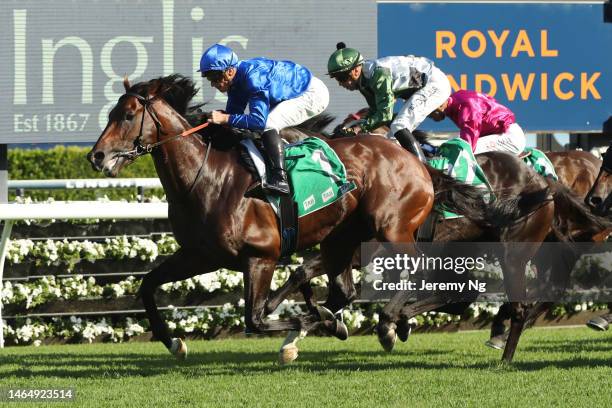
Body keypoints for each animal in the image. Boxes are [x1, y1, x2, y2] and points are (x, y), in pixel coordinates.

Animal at [86, 74, 510, 360]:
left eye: (127, 115)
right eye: (111, 112)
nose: (96, 156)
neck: (206, 177)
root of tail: (418, 162)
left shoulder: (260, 257)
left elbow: (256, 319)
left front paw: (317, 325)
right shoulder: (200, 255)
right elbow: (147, 285)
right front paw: (174, 341)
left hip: (391, 229)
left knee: (424, 271)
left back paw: (391, 322)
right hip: (345, 237)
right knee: (348, 288)